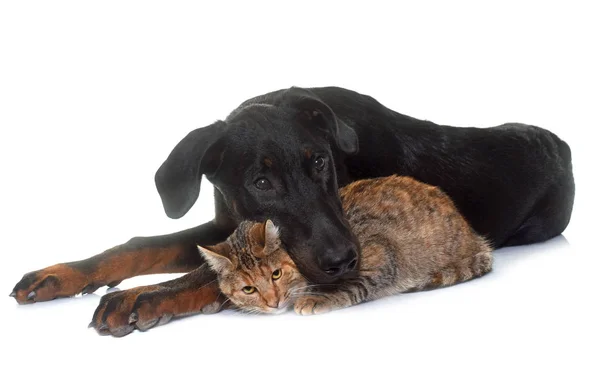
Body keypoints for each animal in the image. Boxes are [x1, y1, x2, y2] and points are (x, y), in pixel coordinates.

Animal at [197, 176, 492, 314]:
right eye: (248, 289)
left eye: (276, 274)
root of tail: (474, 237)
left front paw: (317, 298)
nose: (273, 302)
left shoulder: (381, 257)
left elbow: (351, 285)